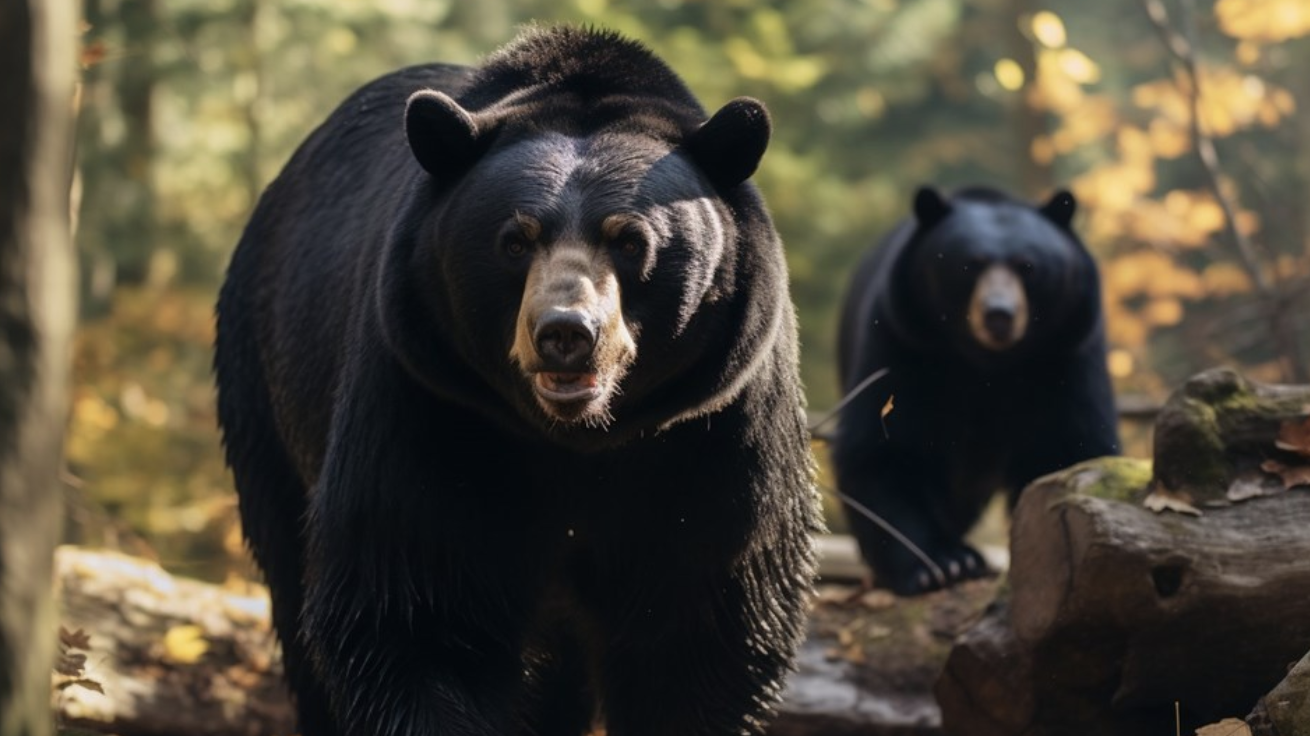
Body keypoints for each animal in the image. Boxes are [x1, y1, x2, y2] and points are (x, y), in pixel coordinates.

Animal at [213, 24, 817, 733]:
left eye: (630, 240)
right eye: (516, 240)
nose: (566, 333)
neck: (577, 439)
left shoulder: (715, 427)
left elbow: (700, 627)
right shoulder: (429, 400)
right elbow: (414, 607)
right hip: (266, 383)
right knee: (290, 571)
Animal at [838, 185, 1116, 591]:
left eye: (1027, 266)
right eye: (970, 265)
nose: (999, 315)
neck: (987, 363)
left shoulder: (1066, 353)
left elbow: (1067, 444)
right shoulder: (904, 340)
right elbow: (885, 447)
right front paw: (943, 564)